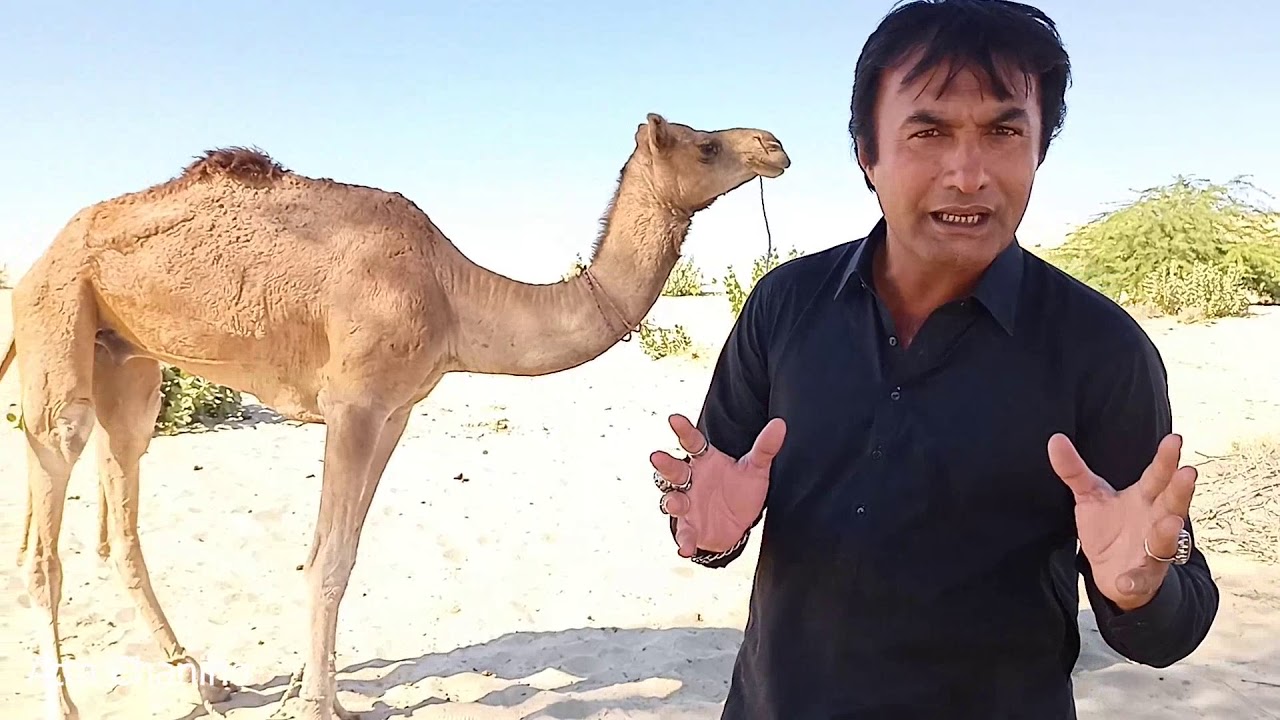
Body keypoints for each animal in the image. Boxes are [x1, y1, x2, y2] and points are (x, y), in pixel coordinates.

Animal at [2, 112, 789, 720]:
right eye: (704, 146)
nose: (773, 144)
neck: (451, 293)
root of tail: (39, 258)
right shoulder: (353, 403)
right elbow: (323, 558)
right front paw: (318, 705)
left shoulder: (398, 411)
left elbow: (345, 553)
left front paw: (311, 687)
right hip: (58, 326)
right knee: (45, 530)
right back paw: (66, 703)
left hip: (127, 360)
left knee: (121, 513)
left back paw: (200, 679)